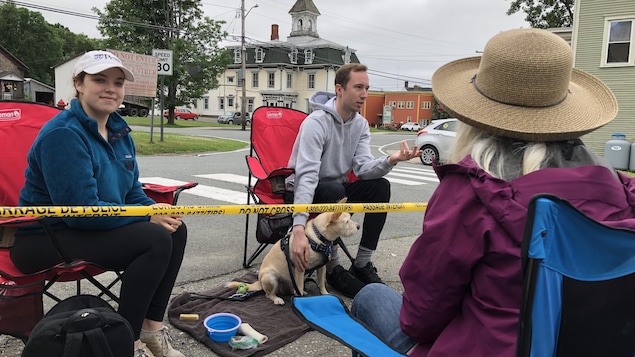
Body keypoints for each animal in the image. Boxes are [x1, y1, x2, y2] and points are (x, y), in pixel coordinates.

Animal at [227, 197, 358, 304]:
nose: (358, 226)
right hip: (271, 277)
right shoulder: (300, 268)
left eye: (349, 219)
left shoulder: (322, 266)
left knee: (292, 289)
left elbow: (321, 283)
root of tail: (259, 282)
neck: (317, 237)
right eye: (347, 222)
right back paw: (277, 299)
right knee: (269, 294)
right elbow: (299, 286)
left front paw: (325, 294)